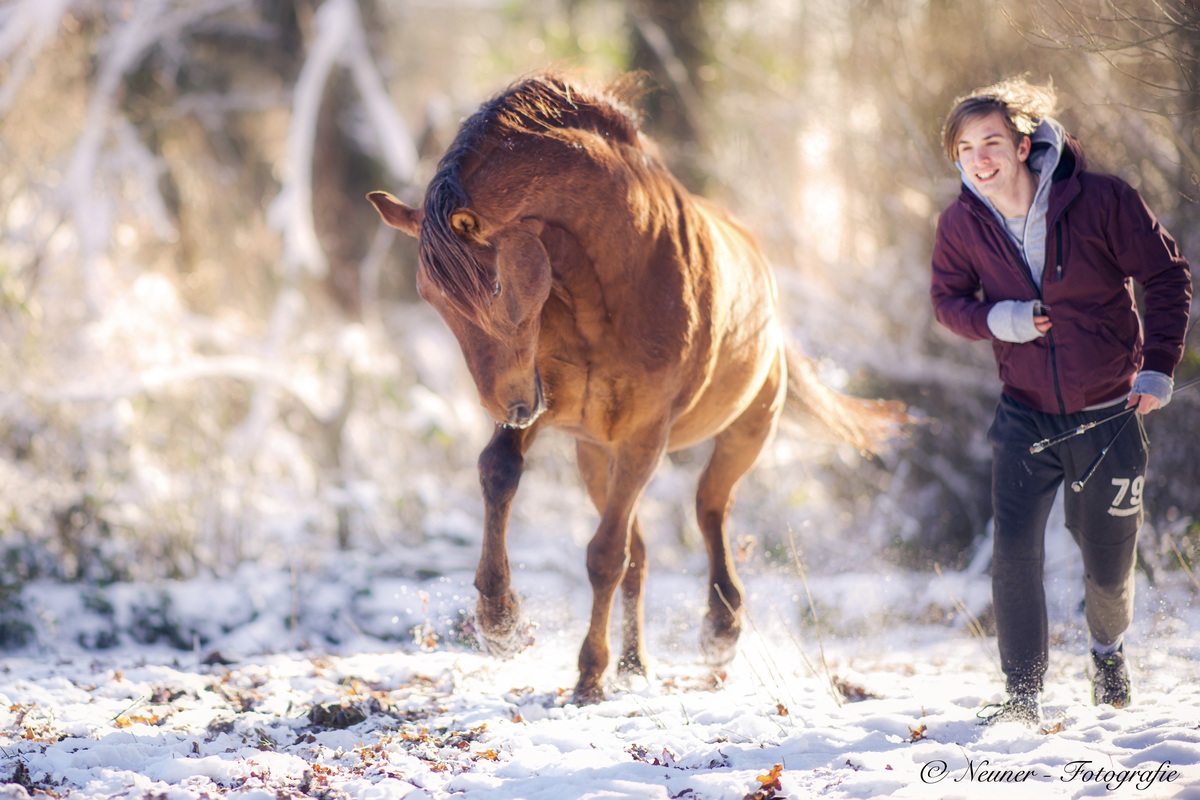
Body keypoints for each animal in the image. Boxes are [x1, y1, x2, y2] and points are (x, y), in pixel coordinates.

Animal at [369, 71, 902, 705]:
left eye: (495, 285)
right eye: (429, 296)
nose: (508, 404)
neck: (609, 279)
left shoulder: (644, 433)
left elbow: (605, 556)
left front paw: (587, 674)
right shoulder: (552, 410)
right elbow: (499, 473)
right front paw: (501, 621)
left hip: (743, 431)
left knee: (708, 510)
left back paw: (720, 629)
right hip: (594, 453)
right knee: (642, 553)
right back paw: (633, 662)